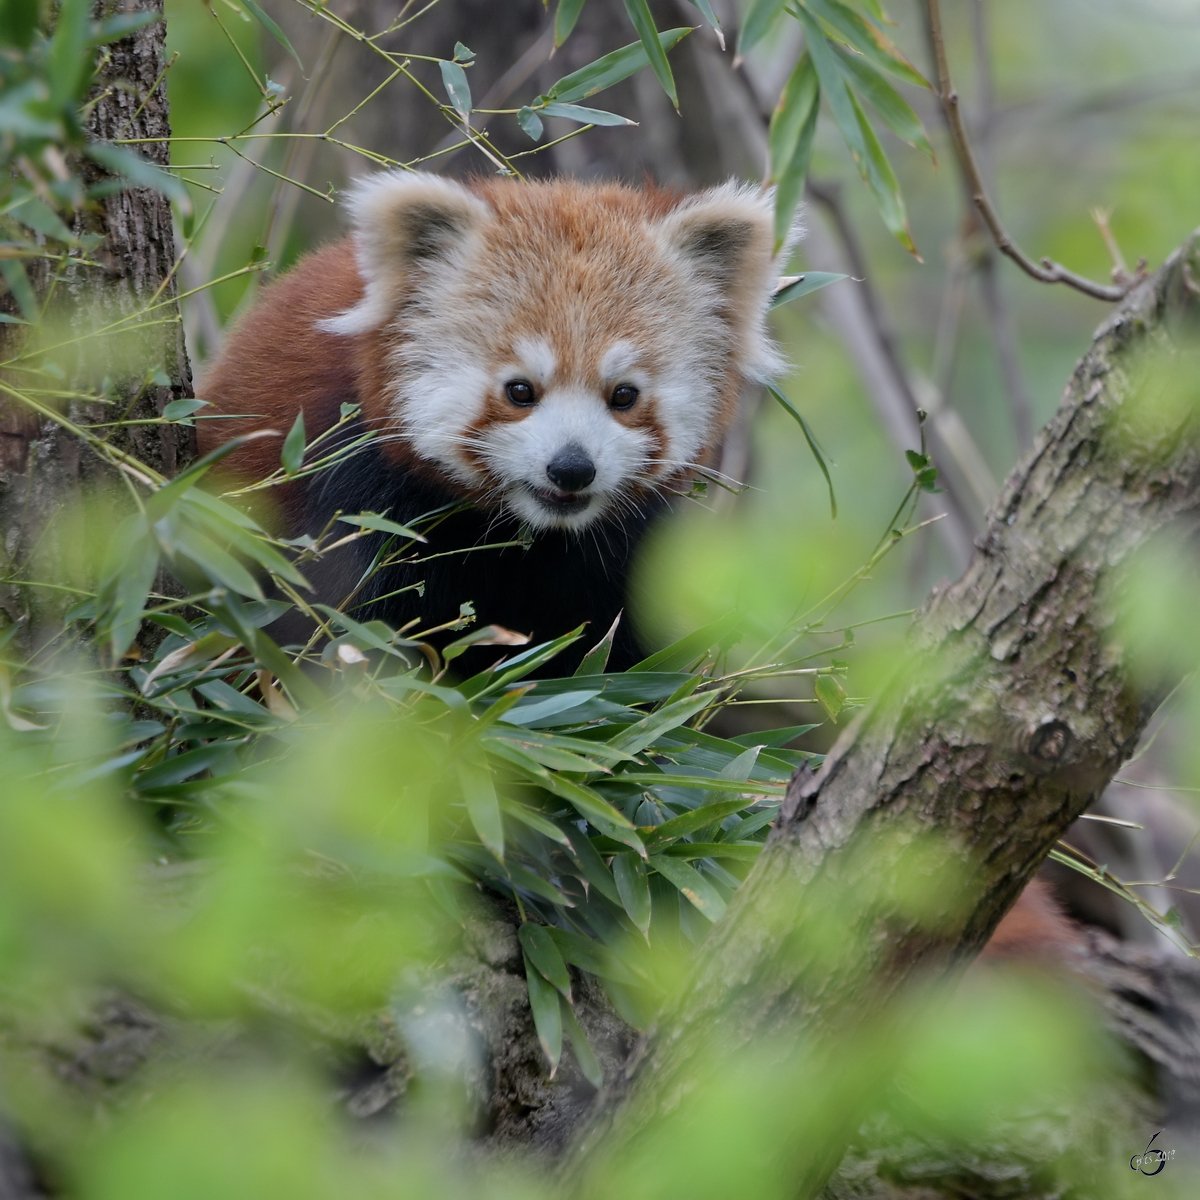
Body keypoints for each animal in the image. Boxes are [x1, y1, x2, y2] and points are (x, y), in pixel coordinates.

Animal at [200, 174, 792, 672]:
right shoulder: (355, 491)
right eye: (520, 390)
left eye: (623, 395)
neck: (528, 536)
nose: (571, 468)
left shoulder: (626, 551)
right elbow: (343, 629)